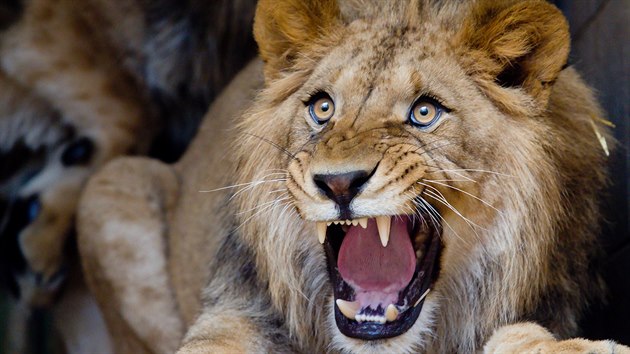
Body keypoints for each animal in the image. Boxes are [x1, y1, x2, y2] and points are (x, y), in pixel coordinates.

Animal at [76, 0, 628, 354]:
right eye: (322, 107)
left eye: (424, 112)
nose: (339, 183)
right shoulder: (237, 308)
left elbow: (519, 336)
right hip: (108, 186)